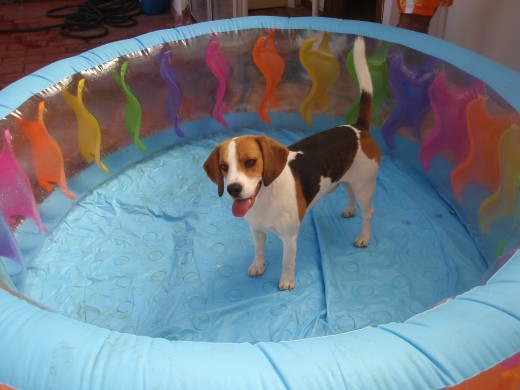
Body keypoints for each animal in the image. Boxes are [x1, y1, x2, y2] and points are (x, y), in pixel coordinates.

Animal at [203, 38, 378, 290]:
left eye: (250, 162)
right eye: (224, 167)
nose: (233, 189)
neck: (265, 197)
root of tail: (358, 128)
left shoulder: (289, 237)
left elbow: (287, 261)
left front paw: (286, 281)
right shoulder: (256, 230)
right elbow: (259, 251)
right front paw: (258, 266)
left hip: (365, 186)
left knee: (368, 212)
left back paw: (364, 236)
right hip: (346, 178)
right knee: (350, 192)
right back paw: (349, 209)